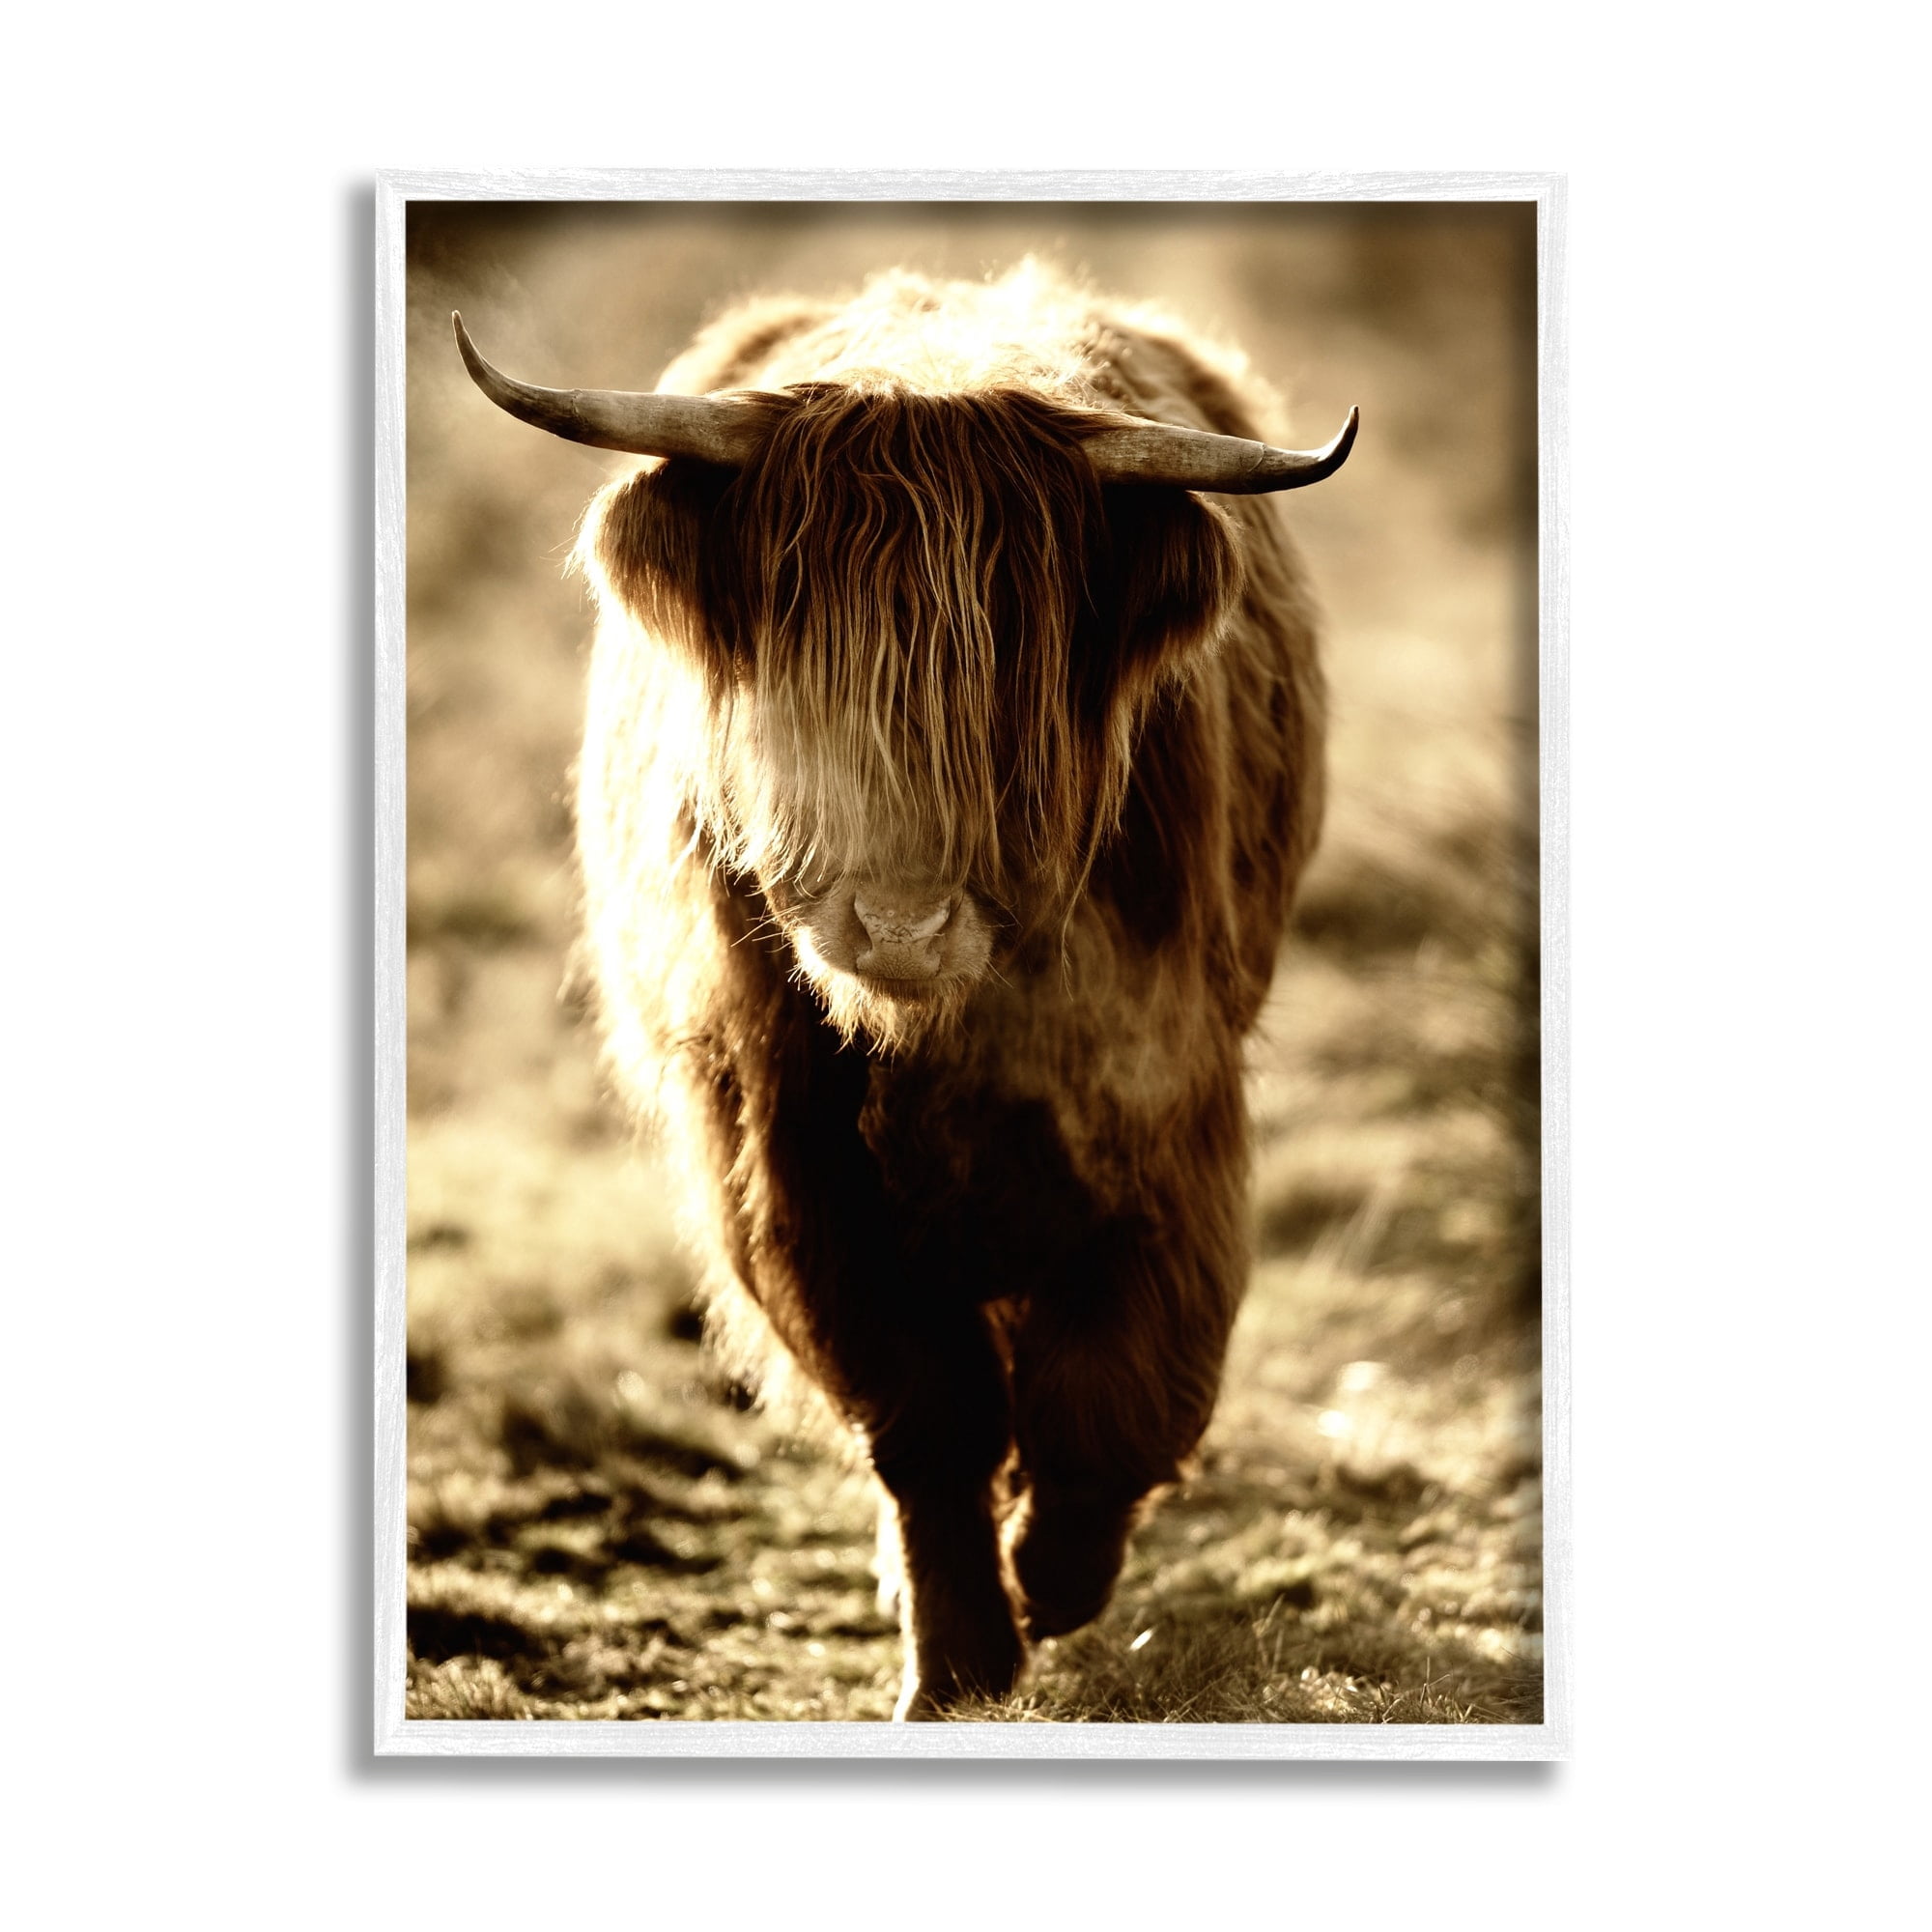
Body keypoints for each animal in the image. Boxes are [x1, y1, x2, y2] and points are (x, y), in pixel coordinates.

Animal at [453, 264, 1356, 1719]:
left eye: (1012, 676)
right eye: (801, 670)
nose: (898, 920)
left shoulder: (1165, 1103)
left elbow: (1116, 1389)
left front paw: (1055, 1578)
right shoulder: (787, 1148)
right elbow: (922, 1407)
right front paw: (961, 1664)